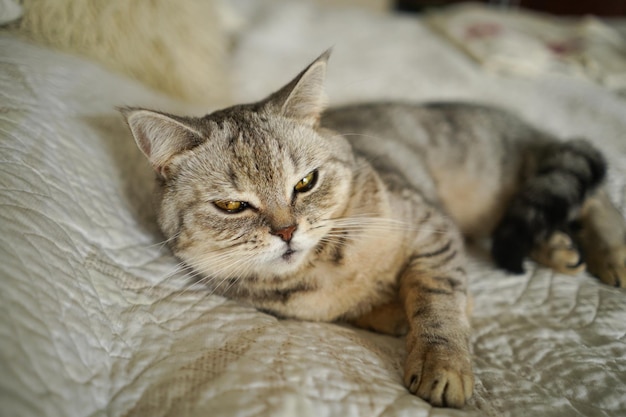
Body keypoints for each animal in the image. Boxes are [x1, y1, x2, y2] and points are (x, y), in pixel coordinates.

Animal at [120, 51, 624, 406]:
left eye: (305, 182)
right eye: (231, 205)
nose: (287, 231)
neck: (329, 264)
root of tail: (524, 125)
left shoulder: (431, 227)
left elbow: (436, 299)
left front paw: (442, 361)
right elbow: (370, 308)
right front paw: (394, 313)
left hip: (492, 174)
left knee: (594, 195)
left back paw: (610, 254)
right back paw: (557, 247)